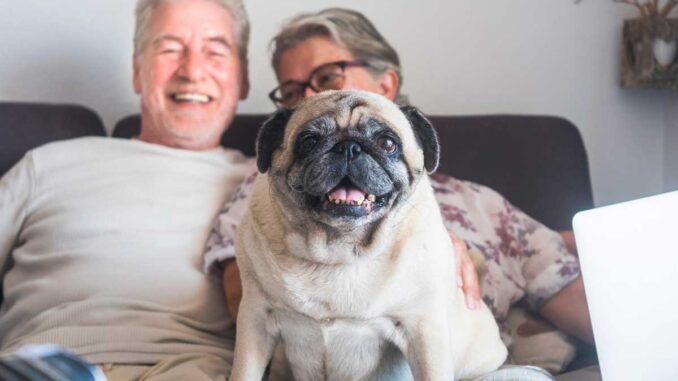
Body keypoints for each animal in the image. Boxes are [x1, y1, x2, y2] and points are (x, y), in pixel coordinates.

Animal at [231, 90, 508, 380]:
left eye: (387, 143)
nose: (348, 147)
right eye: (308, 142)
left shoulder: (423, 329)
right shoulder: (256, 319)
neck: (339, 250)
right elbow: (243, 372)